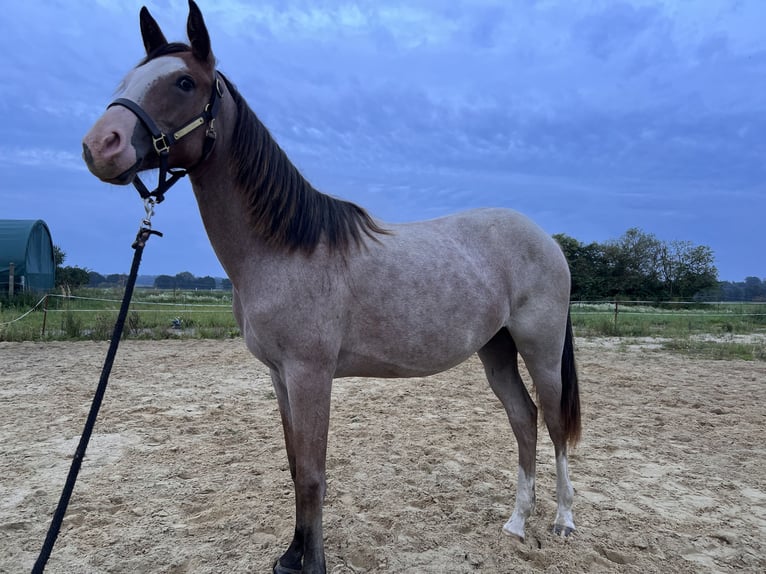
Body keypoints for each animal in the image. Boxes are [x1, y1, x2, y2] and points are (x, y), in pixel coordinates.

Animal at [82, 2, 581, 572]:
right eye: (128, 79)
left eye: (184, 82)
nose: (99, 145)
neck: (284, 249)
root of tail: (547, 240)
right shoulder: (280, 376)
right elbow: (295, 466)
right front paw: (291, 555)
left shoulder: (311, 374)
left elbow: (314, 476)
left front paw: (313, 562)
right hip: (495, 350)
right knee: (524, 419)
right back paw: (517, 523)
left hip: (540, 350)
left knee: (554, 424)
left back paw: (563, 521)